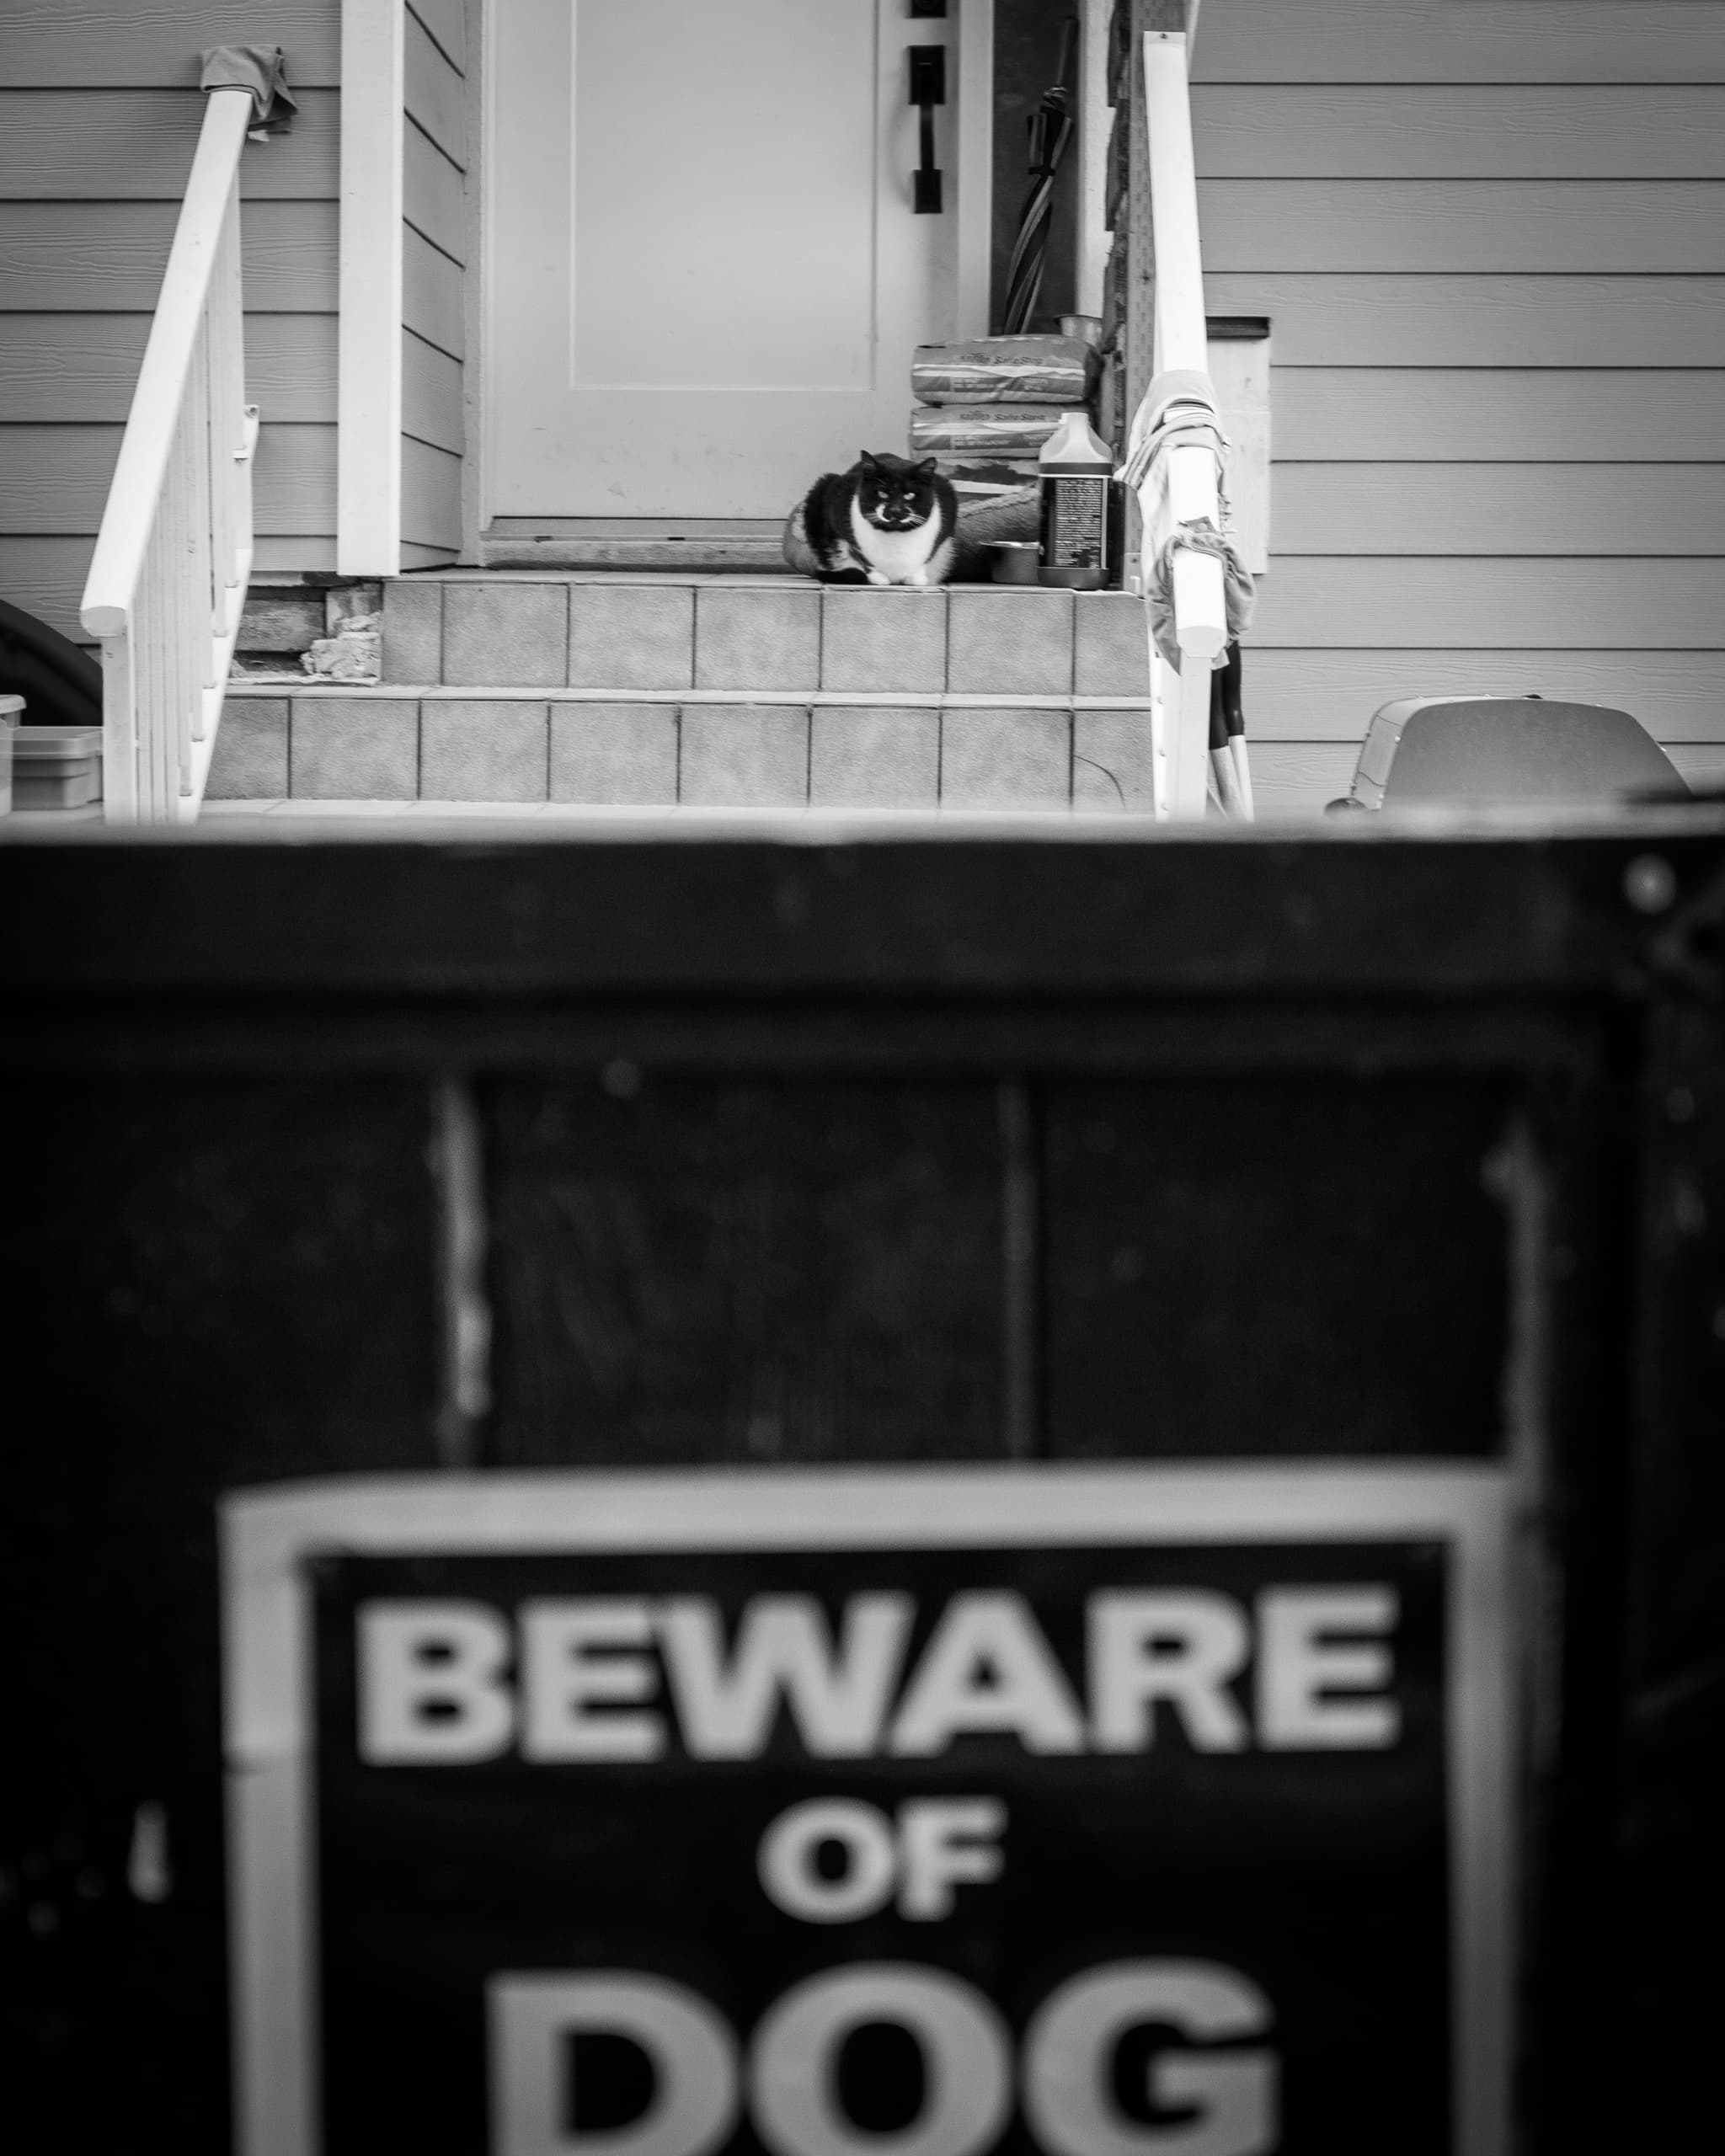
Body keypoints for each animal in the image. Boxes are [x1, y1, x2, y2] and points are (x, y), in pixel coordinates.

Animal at [798, 448, 957, 586]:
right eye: (882, 493)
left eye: (910, 495)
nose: (894, 510)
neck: (894, 536)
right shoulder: (836, 499)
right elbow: (857, 553)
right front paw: (876, 576)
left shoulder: (947, 502)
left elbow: (930, 554)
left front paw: (917, 577)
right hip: (821, 490)